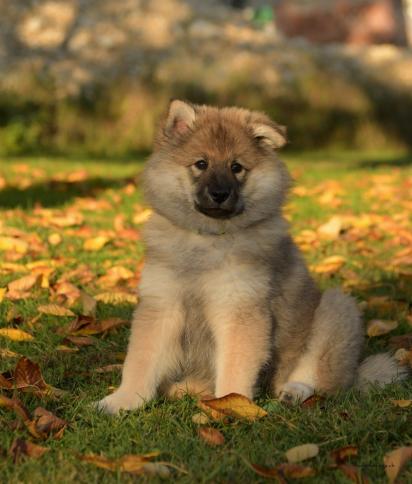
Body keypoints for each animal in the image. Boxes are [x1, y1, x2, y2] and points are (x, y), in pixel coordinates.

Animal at [97, 100, 408, 414]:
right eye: (201, 164)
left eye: (237, 167)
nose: (219, 193)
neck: (209, 239)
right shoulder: (162, 305)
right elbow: (141, 361)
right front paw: (124, 400)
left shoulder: (239, 308)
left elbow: (235, 367)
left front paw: (230, 405)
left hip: (336, 309)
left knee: (319, 378)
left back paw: (293, 392)